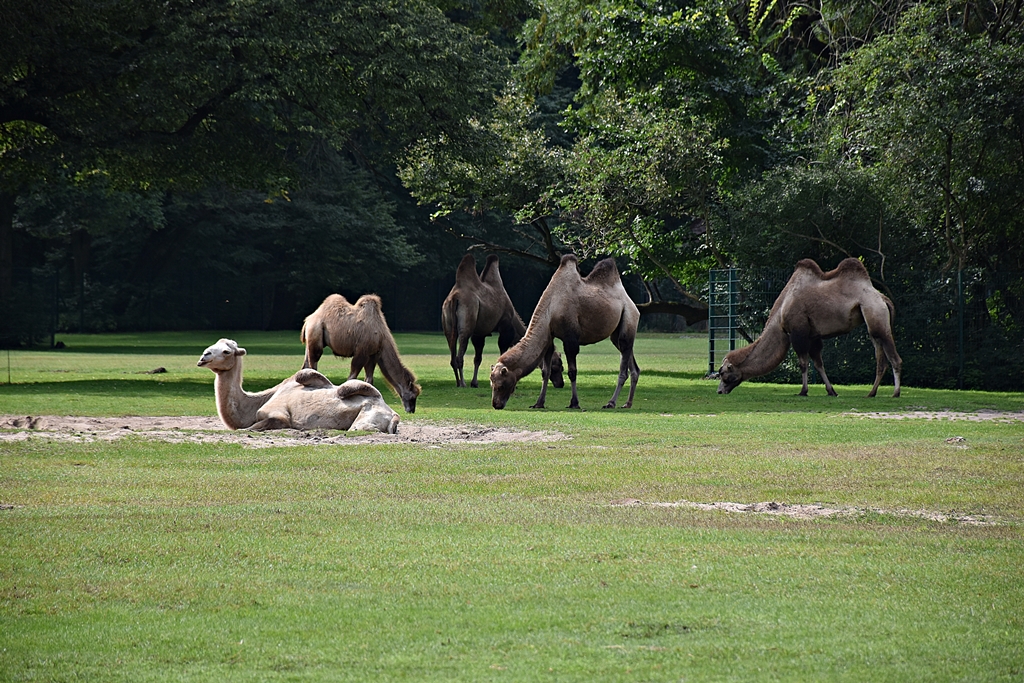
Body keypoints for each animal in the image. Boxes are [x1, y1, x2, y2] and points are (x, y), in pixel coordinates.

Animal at [197, 338, 400, 433]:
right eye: (211, 346)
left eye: (226, 351)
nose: (204, 356)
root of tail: (394, 415)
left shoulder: (278, 415)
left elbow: (250, 428)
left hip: (366, 420)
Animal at [442, 253, 564, 389]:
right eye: (557, 366)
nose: (561, 383)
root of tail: (454, 297)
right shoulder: (505, 326)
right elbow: (503, 351)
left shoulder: (479, 333)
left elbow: (478, 358)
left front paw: (475, 383)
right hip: (467, 320)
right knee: (460, 355)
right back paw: (463, 383)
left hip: (447, 323)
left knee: (452, 355)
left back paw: (458, 382)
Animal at [490, 253, 640, 410]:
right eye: (491, 384)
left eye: (501, 385)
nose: (496, 404)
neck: (551, 310)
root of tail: (632, 304)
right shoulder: (548, 337)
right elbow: (545, 372)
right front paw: (539, 403)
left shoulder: (570, 338)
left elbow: (572, 372)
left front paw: (574, 403)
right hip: (616, 334)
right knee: (631, 362)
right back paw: (627, 403)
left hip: (629, 316)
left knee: (624, 363)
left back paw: (611, 402)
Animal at [717, 258, 902, 398]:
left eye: (724, 373)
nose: (719, 391)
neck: (781, 313)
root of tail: (883, 298)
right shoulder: (813, 336)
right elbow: (819, 363)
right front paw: (831, 391)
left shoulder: (798, 332)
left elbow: (803, 363)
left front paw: (803, 391)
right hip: (873, 322)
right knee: (880, 357)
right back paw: (871, 393)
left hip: (875, 313)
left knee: (894, 357)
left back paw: (895, 393)